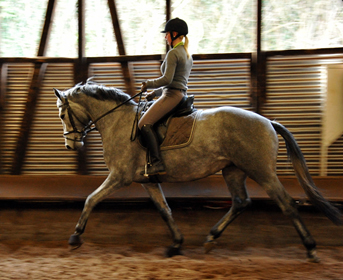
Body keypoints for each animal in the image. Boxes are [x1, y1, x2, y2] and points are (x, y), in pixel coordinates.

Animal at [53, 81, 342, 262]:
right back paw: (211, 238)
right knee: (240, 202)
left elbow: (91, 199)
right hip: (233, 170)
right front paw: (176, 244)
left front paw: (75, 236)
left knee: (287, 204)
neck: (118, 121)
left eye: (62, 115)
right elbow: (164, 210)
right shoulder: (147, 181)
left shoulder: (119, 176)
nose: (71, 144)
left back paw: (311, 249)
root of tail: (268, 121)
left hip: (262, 172)